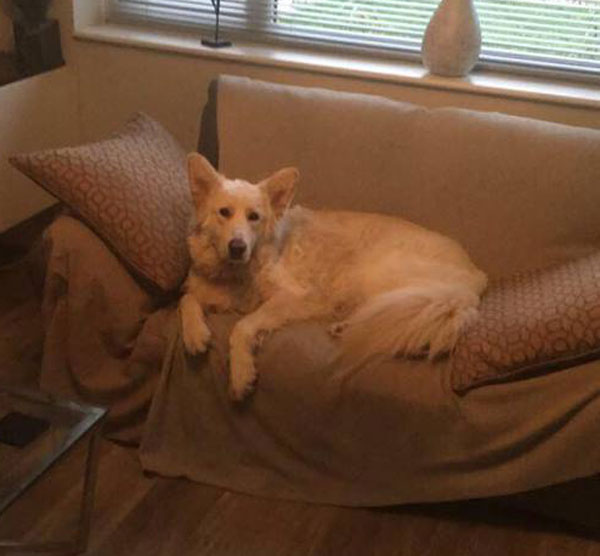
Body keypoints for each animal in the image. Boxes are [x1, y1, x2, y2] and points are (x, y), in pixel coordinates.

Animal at [179, 154, 488, 402]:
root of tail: (476, 275)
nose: (237, 247)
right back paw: (346, 326)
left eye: (254, 216)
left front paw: (241, 373)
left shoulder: (293, 297)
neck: (240, 272)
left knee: (403, 314)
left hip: (378, 272)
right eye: (224, 212)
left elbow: (242, 326)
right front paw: (195, 333)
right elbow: (186, 298)